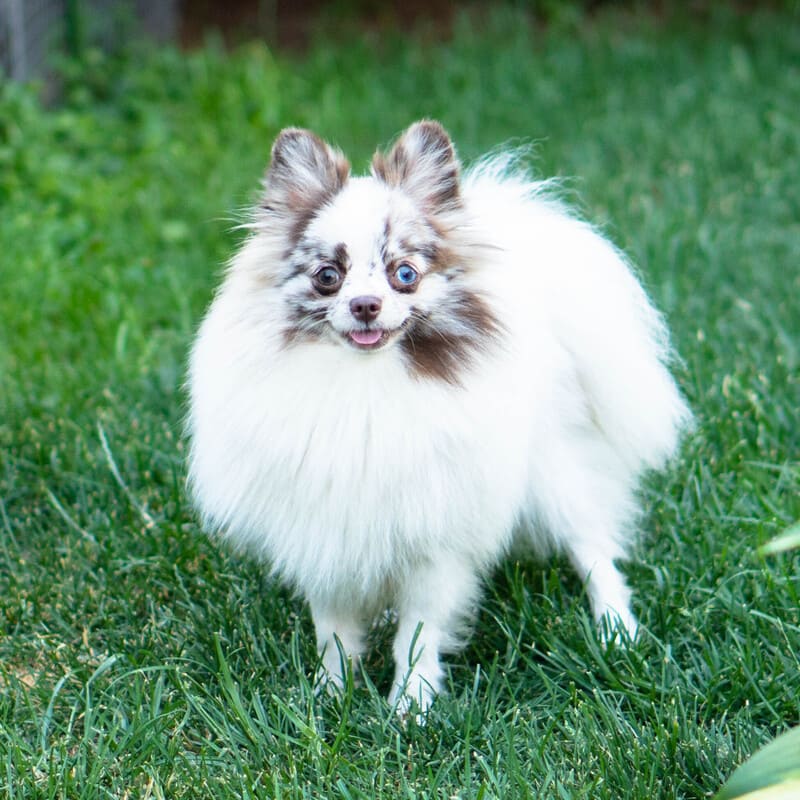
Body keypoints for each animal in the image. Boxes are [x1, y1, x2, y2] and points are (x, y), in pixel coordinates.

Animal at [184, 120, 692, 712]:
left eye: (404, 274)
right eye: (328, 276)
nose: (364, 305)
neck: (365, 385)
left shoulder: (436, 541)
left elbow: (419, 633)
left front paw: (410, 707)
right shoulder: (325, 531)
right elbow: (333, 630)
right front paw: (331, 697)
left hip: (556, 475)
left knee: (594, 547)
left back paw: (617, 631)